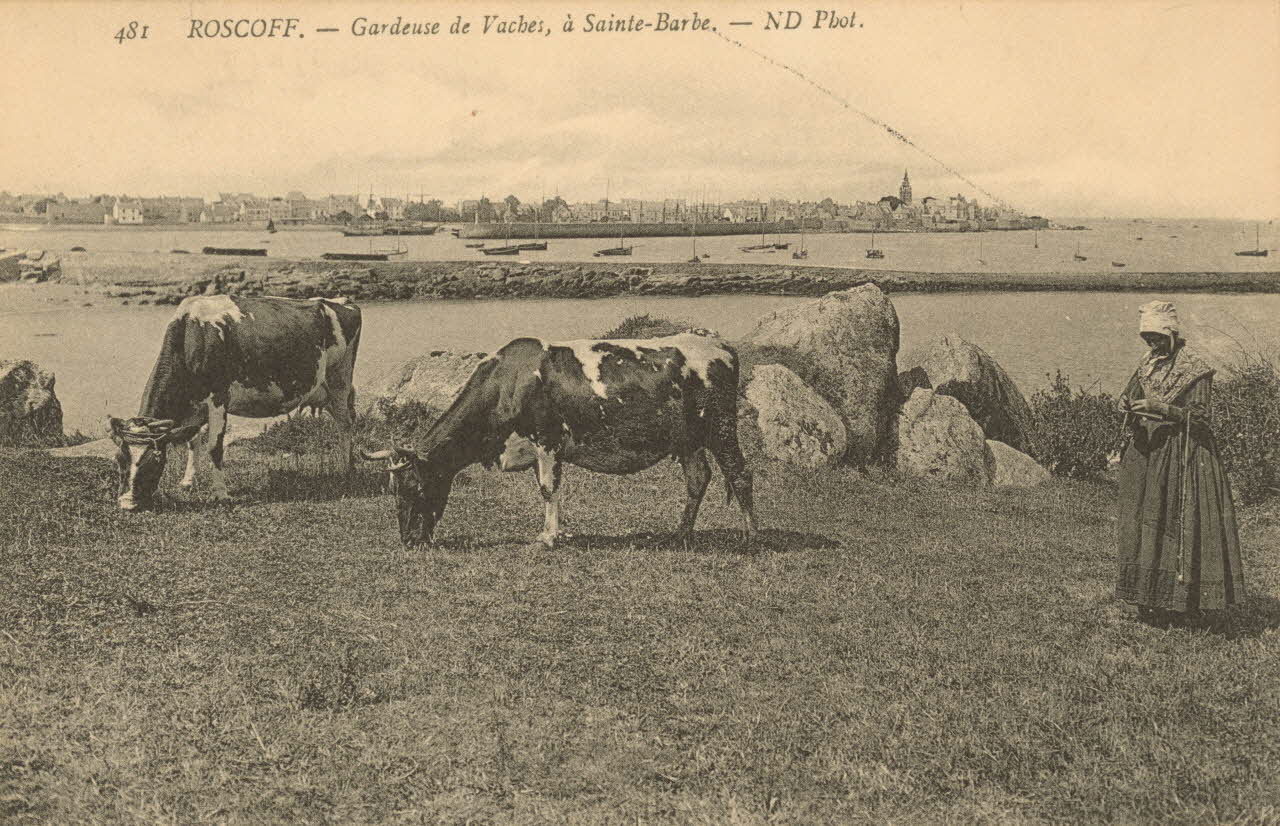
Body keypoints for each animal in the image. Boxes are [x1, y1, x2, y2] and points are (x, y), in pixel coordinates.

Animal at [109, 294, 361, 510]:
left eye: (154, 461)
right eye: (120, 459)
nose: (128, 504)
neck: (192, 337)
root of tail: (342, 301)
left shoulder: (218, 398)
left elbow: (214, 448)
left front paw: (221, 494)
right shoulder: (196, 405)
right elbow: (193, 441)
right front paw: (188, 481)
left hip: (339, 380)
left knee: (345, 424)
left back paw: (344, 469)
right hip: (325, 391)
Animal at [362, 332, 756, 548]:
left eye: (415, 488)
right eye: (394, 490)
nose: (409, 540)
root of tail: (718, 342)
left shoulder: (547, 438)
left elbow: (548, 489)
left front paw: (548, 537)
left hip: (721, 426)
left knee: (740, 474)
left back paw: (750, 535)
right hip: (687, 437)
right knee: (698, 478)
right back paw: (680, 534)